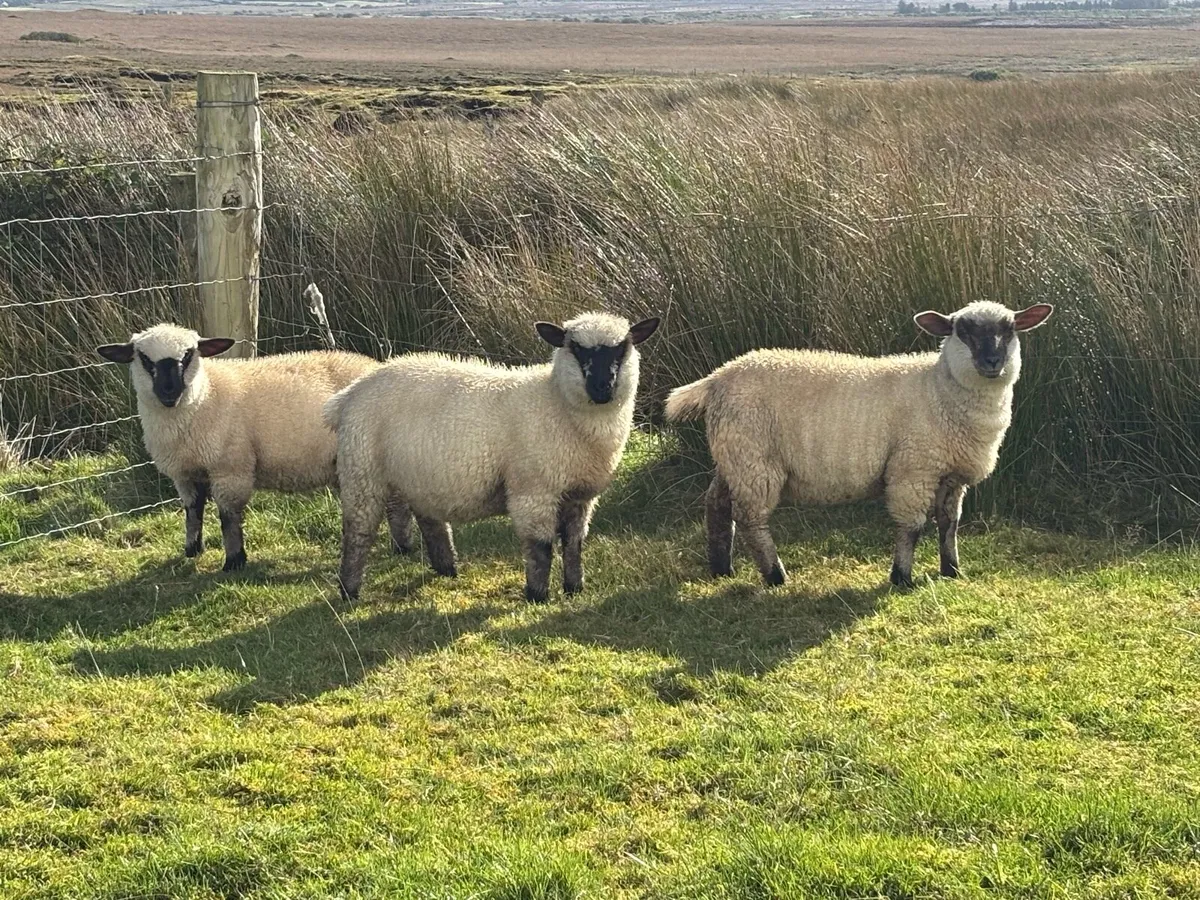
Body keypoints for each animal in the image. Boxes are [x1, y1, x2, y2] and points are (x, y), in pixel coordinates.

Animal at [96, 323, 414, 571]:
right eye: (143, 358)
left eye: (188, 355)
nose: (169, 391)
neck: (205, 395)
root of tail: (378, 367)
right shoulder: (185, 474)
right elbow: (193, 511)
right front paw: (192, 550)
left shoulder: (231, 468)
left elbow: (228, 518)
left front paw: (234, 560)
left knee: (397, 503)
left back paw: (401, 546)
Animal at [324, 312, 660, 603]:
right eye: (576, 348)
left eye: (623, 348)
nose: (603, 387)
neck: (556, 403)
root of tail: (348, 395)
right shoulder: (532, 491)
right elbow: (541, 547)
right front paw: (537, 596)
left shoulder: (580, 496)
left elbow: (574, 544)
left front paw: (575, 588)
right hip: (362, 472)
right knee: (357, 533)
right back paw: (349, 591)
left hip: (415, 476)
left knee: (429, 521)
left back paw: (447, 569)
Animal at [664, 301, 1053, 588]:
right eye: (963, 331)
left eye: (1010, 329)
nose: (992, 361)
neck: (938, 390)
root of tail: (717, 379)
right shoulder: (913, 469)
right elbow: (912, 527)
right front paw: (902, 577)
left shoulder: (951, 475)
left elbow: (949, 524)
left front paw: (952, 570)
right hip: (755, 461)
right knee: (750, 520)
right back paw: (775, 575)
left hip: (734, 455)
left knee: (716, 504)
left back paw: (721, 568)